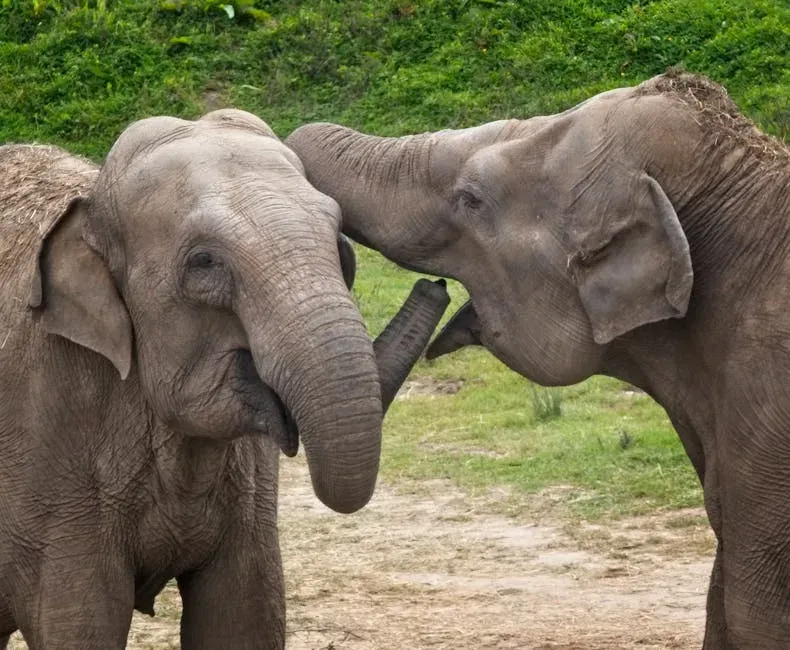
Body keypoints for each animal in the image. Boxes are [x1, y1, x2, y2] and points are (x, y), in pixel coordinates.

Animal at [0, 109, 449, 649]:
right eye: (204, 263)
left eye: (343, 247)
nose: (436, 285)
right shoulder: (48, 448)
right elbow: (80, 624)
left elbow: (243, 615)